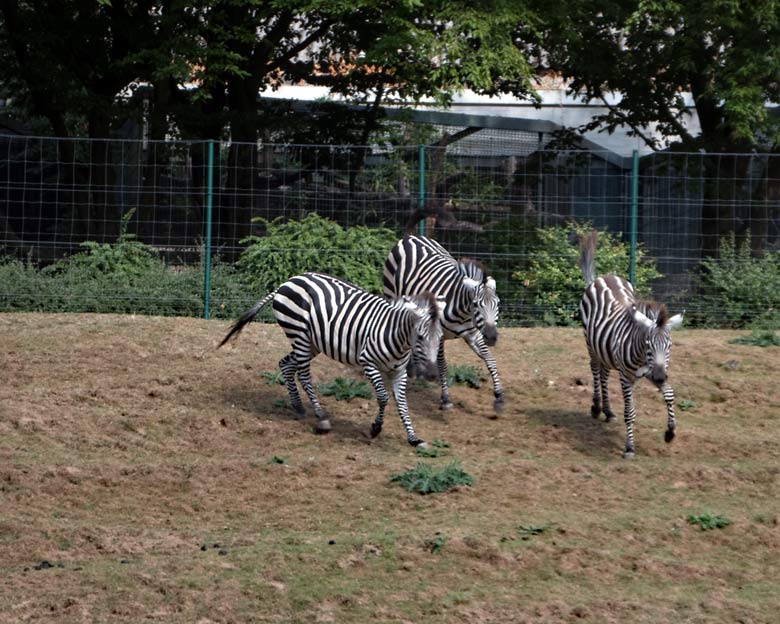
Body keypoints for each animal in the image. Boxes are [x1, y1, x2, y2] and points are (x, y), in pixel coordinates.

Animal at [219, 270, 444, 446]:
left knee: (285, 364)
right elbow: (383, 397)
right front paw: (375, 428)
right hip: (299, 334)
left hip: (312, 342)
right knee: (304, 375)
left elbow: (402, 403)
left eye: (440, 337)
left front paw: (413, 438)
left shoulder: (399, 372)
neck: (397, 336)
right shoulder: (368, 363)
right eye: (420, 337)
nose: (432, 375)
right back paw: (321, 418)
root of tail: (290, 280)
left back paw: (298, 406)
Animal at [384, 234, 506, 414]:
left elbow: (490, 360)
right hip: (391, 292)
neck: (464, 313)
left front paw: (498, 397)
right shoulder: (438, 336)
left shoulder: (474, 334)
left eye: (497, 303)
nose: (491, 337)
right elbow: (442, 366)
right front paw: (446, 399)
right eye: (476, 304)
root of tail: (412, 236)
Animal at [580, 230, 684, 458]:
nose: (661, 377)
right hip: (590, 344)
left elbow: (670, 394)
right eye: (648, 345)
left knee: (603, 374)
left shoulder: (653, 370)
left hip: (606, 351)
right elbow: (630, 412)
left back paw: (608, 411)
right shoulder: (626, 376)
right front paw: (629, 447)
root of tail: (601, 277)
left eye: (669, 346)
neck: (642, 357)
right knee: (595, 370)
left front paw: (670, 432)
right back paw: (596, 407)